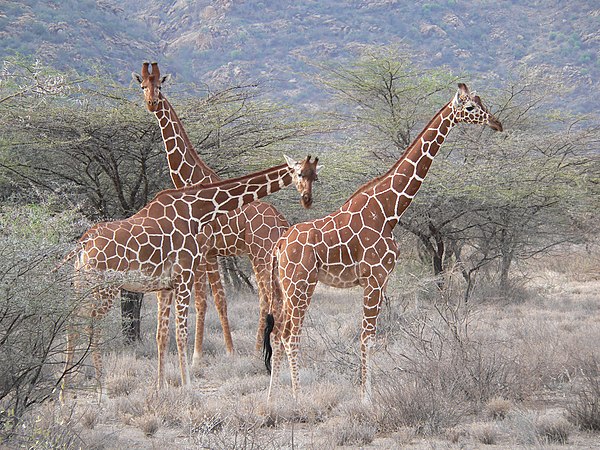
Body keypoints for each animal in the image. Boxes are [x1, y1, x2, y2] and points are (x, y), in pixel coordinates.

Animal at [131, 61, 310, 364]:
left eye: (160, 86)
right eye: (142, 85)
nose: (152, 103)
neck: (191, 181)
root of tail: (283, 222)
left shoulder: (203, 250)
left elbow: (205, 301)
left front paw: (199, 355)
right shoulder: (210, 253)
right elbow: (217, 300)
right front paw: (223, 350)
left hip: (260, 253)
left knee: (267, 297)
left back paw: (259, 350)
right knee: (274, 296)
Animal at [264, 81, 504, 400]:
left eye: (482, 102)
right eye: (470, 107)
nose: (497, 123)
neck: (390, 209)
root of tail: (279, 245)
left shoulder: (381, 280)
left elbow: (371, 336)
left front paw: (365, 391)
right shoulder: (375, 277)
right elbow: (368, 338)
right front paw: (366, 397)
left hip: (284, 286)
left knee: (278, 333)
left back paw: (271, 398)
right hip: (300, 284)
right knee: (290, 335)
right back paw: (297, 397)